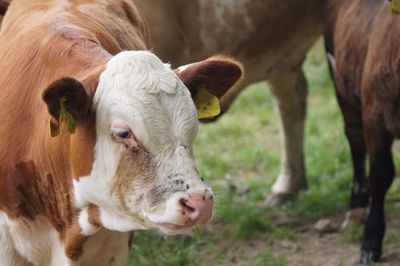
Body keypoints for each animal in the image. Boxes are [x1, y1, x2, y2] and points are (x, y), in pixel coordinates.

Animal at [324, 0, 400, 262]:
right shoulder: (375, 113)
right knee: (355, 139)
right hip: (341, 83)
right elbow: (381, 173)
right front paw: (371, 241)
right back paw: (357, 199)